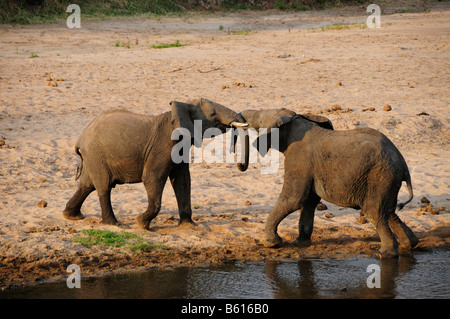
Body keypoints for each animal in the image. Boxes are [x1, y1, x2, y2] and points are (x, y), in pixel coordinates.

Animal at [62, 99, 248, 229]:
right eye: (213, 115)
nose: (240, 165)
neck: (180, 108)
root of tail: (80, 139)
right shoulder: (163, 146)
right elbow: (152, 177)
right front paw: (140, 223)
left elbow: (182, 180)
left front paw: (189, 226)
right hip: (96, 154)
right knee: (103, 185)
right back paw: (113, 224)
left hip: (93, 156)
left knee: (87, 184)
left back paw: (72, 216)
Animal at [239, 109, 418, 258]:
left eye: (260, 120)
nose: (242, 165)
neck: (294, 120)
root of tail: (402, 163)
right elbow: (309, 201)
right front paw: (300, 244)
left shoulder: (299, 159)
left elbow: (294, 200)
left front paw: (272, 244)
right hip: (387, 180)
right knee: (388, 211)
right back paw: (409, 245)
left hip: (380, 176)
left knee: (374, 212)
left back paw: (385, 255)